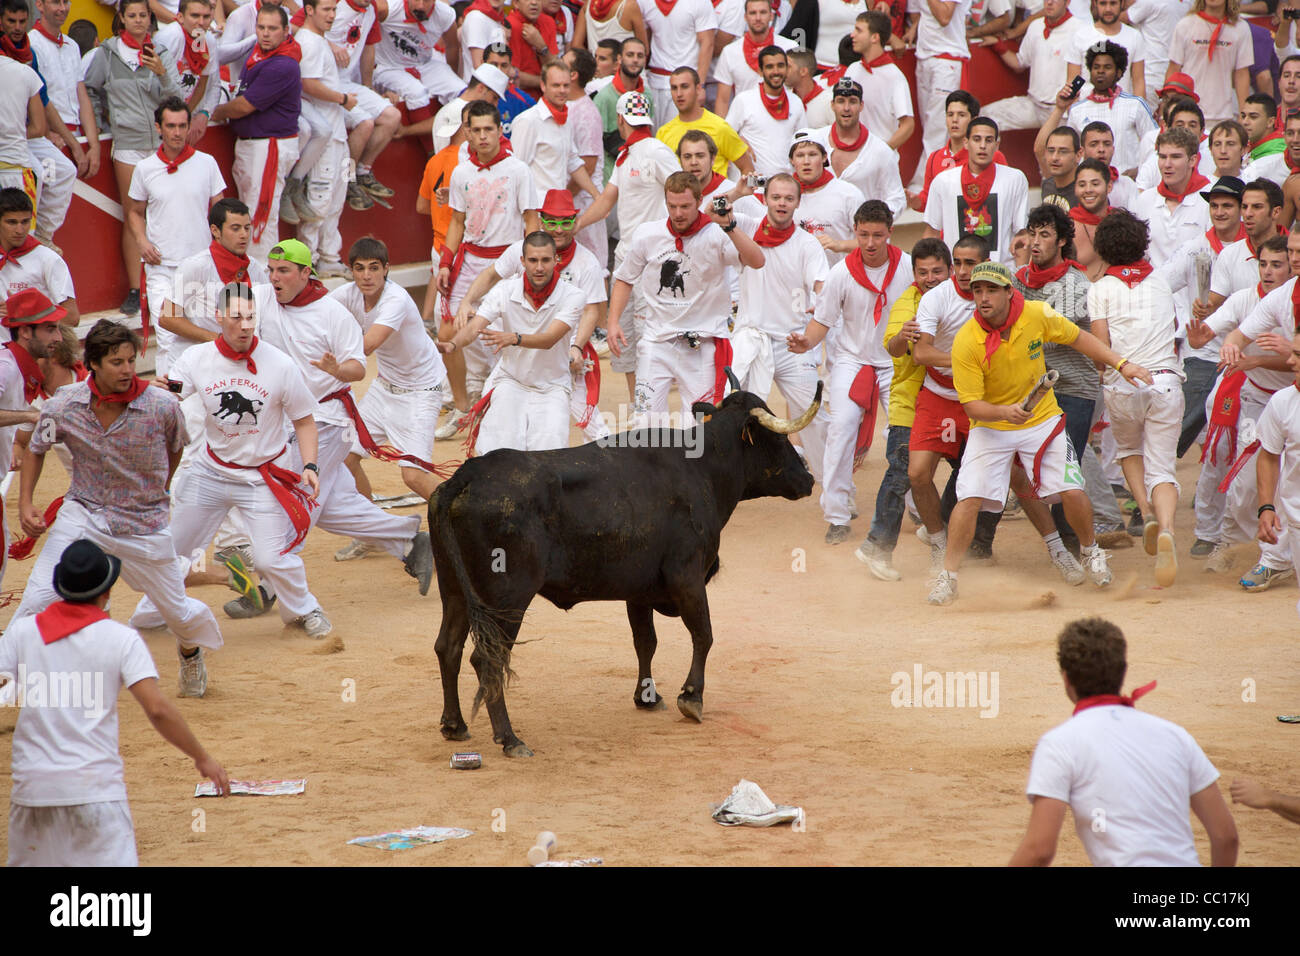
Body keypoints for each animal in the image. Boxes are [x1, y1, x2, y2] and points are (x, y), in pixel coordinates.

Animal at [434, 379, 821, 754]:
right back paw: (510, 739)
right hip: (508, 599)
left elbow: (645, 641)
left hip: (454, 591)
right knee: (488, 658)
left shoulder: (639, 591)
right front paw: (691, 697)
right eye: (780, 437)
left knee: (448, 648)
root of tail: (468, 475)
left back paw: (455, 726)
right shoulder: (687, 577)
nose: (809, 479)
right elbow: (704, 634)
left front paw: (647, 697)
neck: (702, 469)